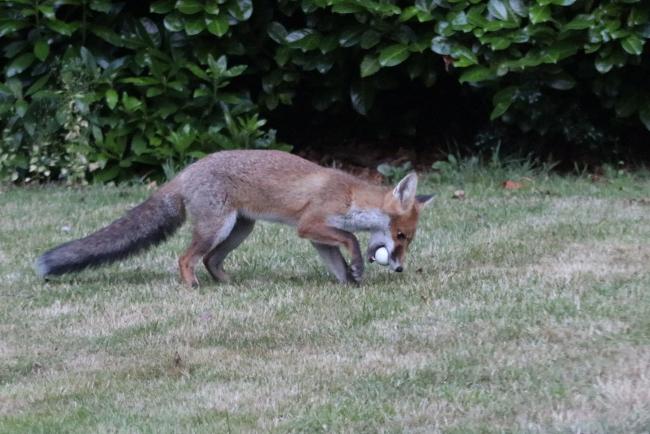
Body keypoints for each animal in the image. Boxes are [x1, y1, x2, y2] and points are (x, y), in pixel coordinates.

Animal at [36, 150, 433, 287]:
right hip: (217, 228)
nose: (400, 268)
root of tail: (186, 171)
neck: (349, 196)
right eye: (401, 237)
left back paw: (230, 284)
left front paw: (352, 283)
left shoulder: (319, 239)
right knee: (186, 258)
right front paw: (358, 270)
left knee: (211, 261)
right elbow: (350, 240)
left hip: (240, 229)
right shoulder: (310, 225)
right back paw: (192, 287)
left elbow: (337, 264)